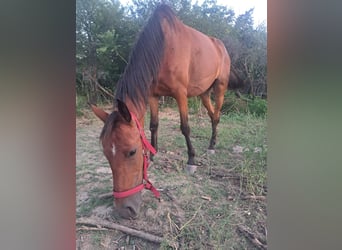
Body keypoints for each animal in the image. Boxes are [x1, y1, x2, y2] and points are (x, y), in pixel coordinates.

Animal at [91, 4, 232, 219]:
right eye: (106, 153)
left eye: (132, 152)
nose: (124, 210)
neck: (164, 46)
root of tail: (221, 46)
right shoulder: (153, 95)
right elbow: (153, 125)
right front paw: (153, 156)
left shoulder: (180, 94)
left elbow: (185, 127)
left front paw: (191, 160)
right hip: (203, 93)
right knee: (212, 115)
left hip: (220, 88)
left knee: (216, 116)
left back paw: (211, 146)